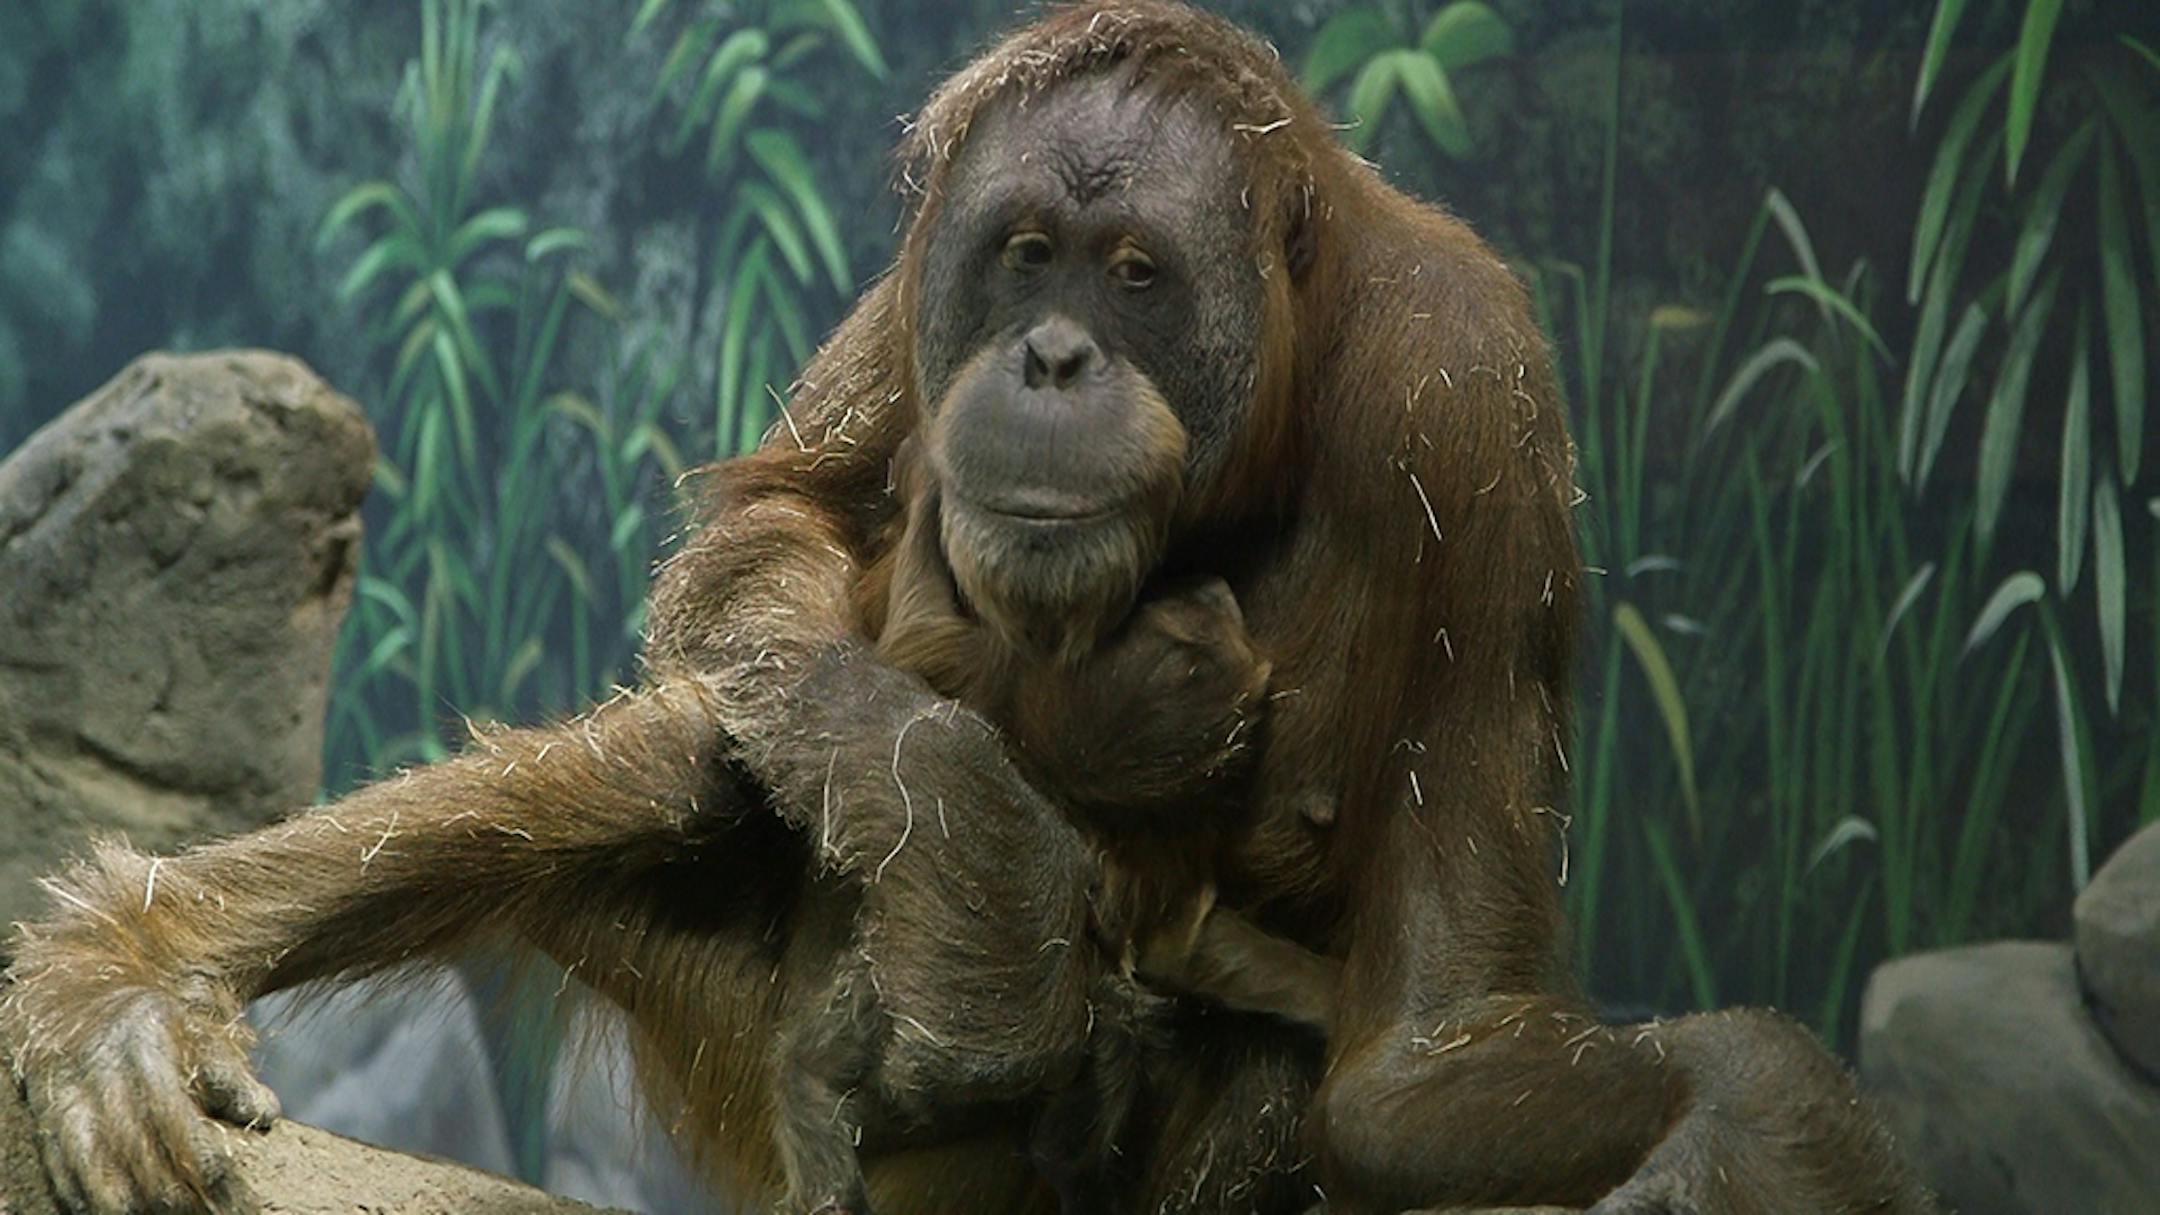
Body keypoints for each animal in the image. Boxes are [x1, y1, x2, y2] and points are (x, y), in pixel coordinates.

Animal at [1, 5, 1936, 1214]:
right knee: (709, 753)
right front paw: (999, 895)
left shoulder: (1480, 404)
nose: (1053, 354)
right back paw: (135, 971)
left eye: (1136, 273)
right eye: (1024, 256)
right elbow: (764, 550)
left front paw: (1757, 1117)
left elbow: (1425, 1051)